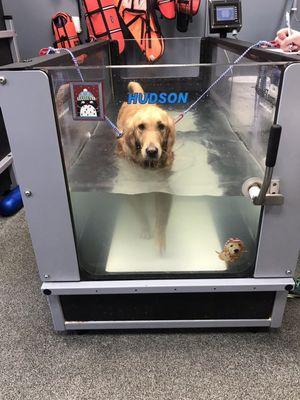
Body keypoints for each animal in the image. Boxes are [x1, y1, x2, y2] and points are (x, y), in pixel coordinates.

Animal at [116, 81, 176, 253]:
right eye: (141, 127)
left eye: (161, 126)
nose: (152, 151)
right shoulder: (132, 188)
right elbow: (140, 211)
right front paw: (145, 229)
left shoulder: (163, 187)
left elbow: (162, 216)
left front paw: (160, 240)